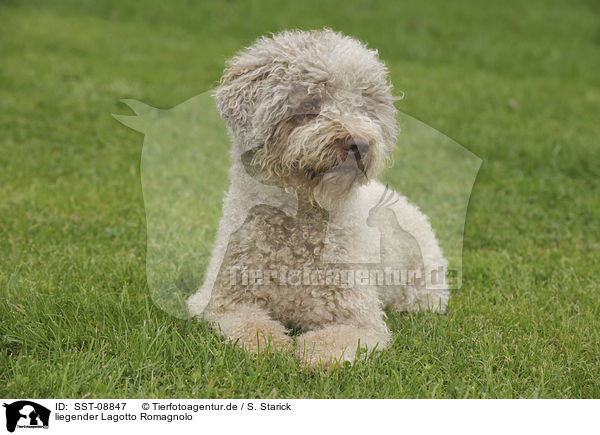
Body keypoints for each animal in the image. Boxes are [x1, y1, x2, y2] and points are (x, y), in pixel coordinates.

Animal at [189, 28, 450, 368]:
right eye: (310, 102)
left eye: (364, 107)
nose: (360, 144)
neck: (297, 230)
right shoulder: (220, 300)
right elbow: (249, 324)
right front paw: (271, 345)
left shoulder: (360, 319)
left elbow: (332, 343)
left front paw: (310, 355)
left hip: (423, 291)